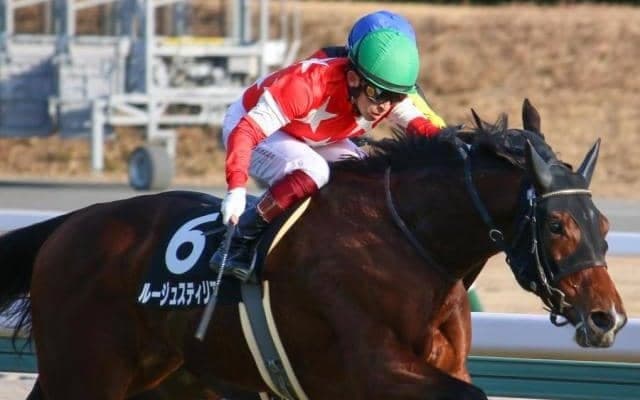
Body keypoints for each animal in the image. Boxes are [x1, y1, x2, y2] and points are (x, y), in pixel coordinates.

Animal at [0, 99, 626, 400]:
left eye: (602, 222)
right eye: (557, 226)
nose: (609, 318)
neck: (406, 242)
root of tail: (70, 225)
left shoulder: (441, 365)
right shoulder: (372, 369)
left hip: (170, 382)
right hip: (86, 374)